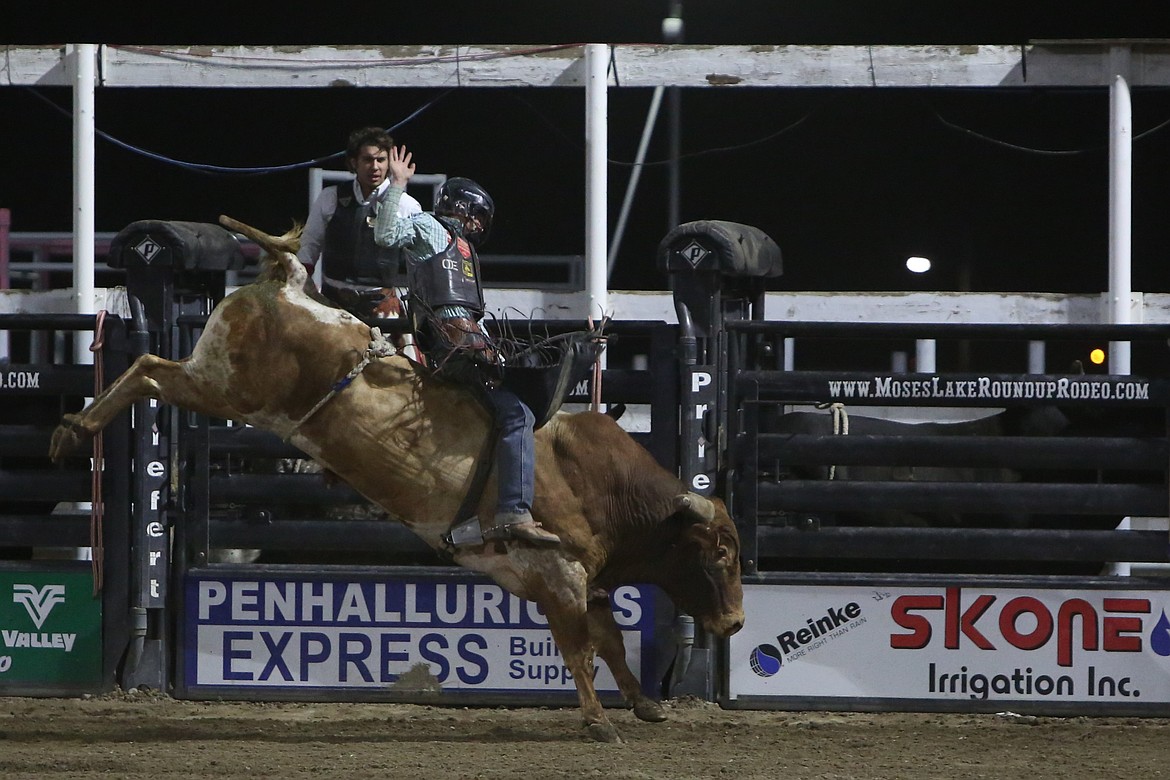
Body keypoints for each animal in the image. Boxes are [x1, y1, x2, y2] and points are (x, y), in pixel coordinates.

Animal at [50, 215, 744, 743]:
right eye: (720, 552)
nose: (736, 623)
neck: (599, 485)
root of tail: (288, 280)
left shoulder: (585, 581)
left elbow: (613, 641)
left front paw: (645, 705)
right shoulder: (556, 575)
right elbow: (580, 648)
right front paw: (601, 723)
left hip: (220, 384)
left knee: (149, 366)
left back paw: (72, 428)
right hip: (223, 385)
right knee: (146, 364)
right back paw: (74, 428)